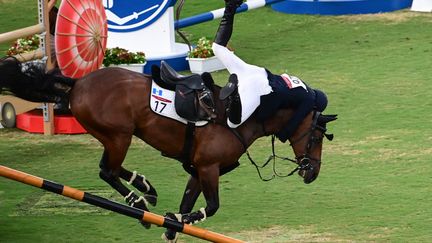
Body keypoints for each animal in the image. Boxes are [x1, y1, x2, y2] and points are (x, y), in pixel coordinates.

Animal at [0, 57, 338, 241]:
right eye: (318, 137)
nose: (313, 172)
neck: (246, 113)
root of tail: (77, 83)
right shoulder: (208, 168)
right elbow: (212, 206)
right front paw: (177, 219)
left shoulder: (199, 169)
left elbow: (189, 200)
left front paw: (174, 226)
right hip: (119, 136)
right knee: (107, 170)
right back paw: (138, 201)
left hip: (113, 136)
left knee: (111, 168)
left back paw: (145, 188)